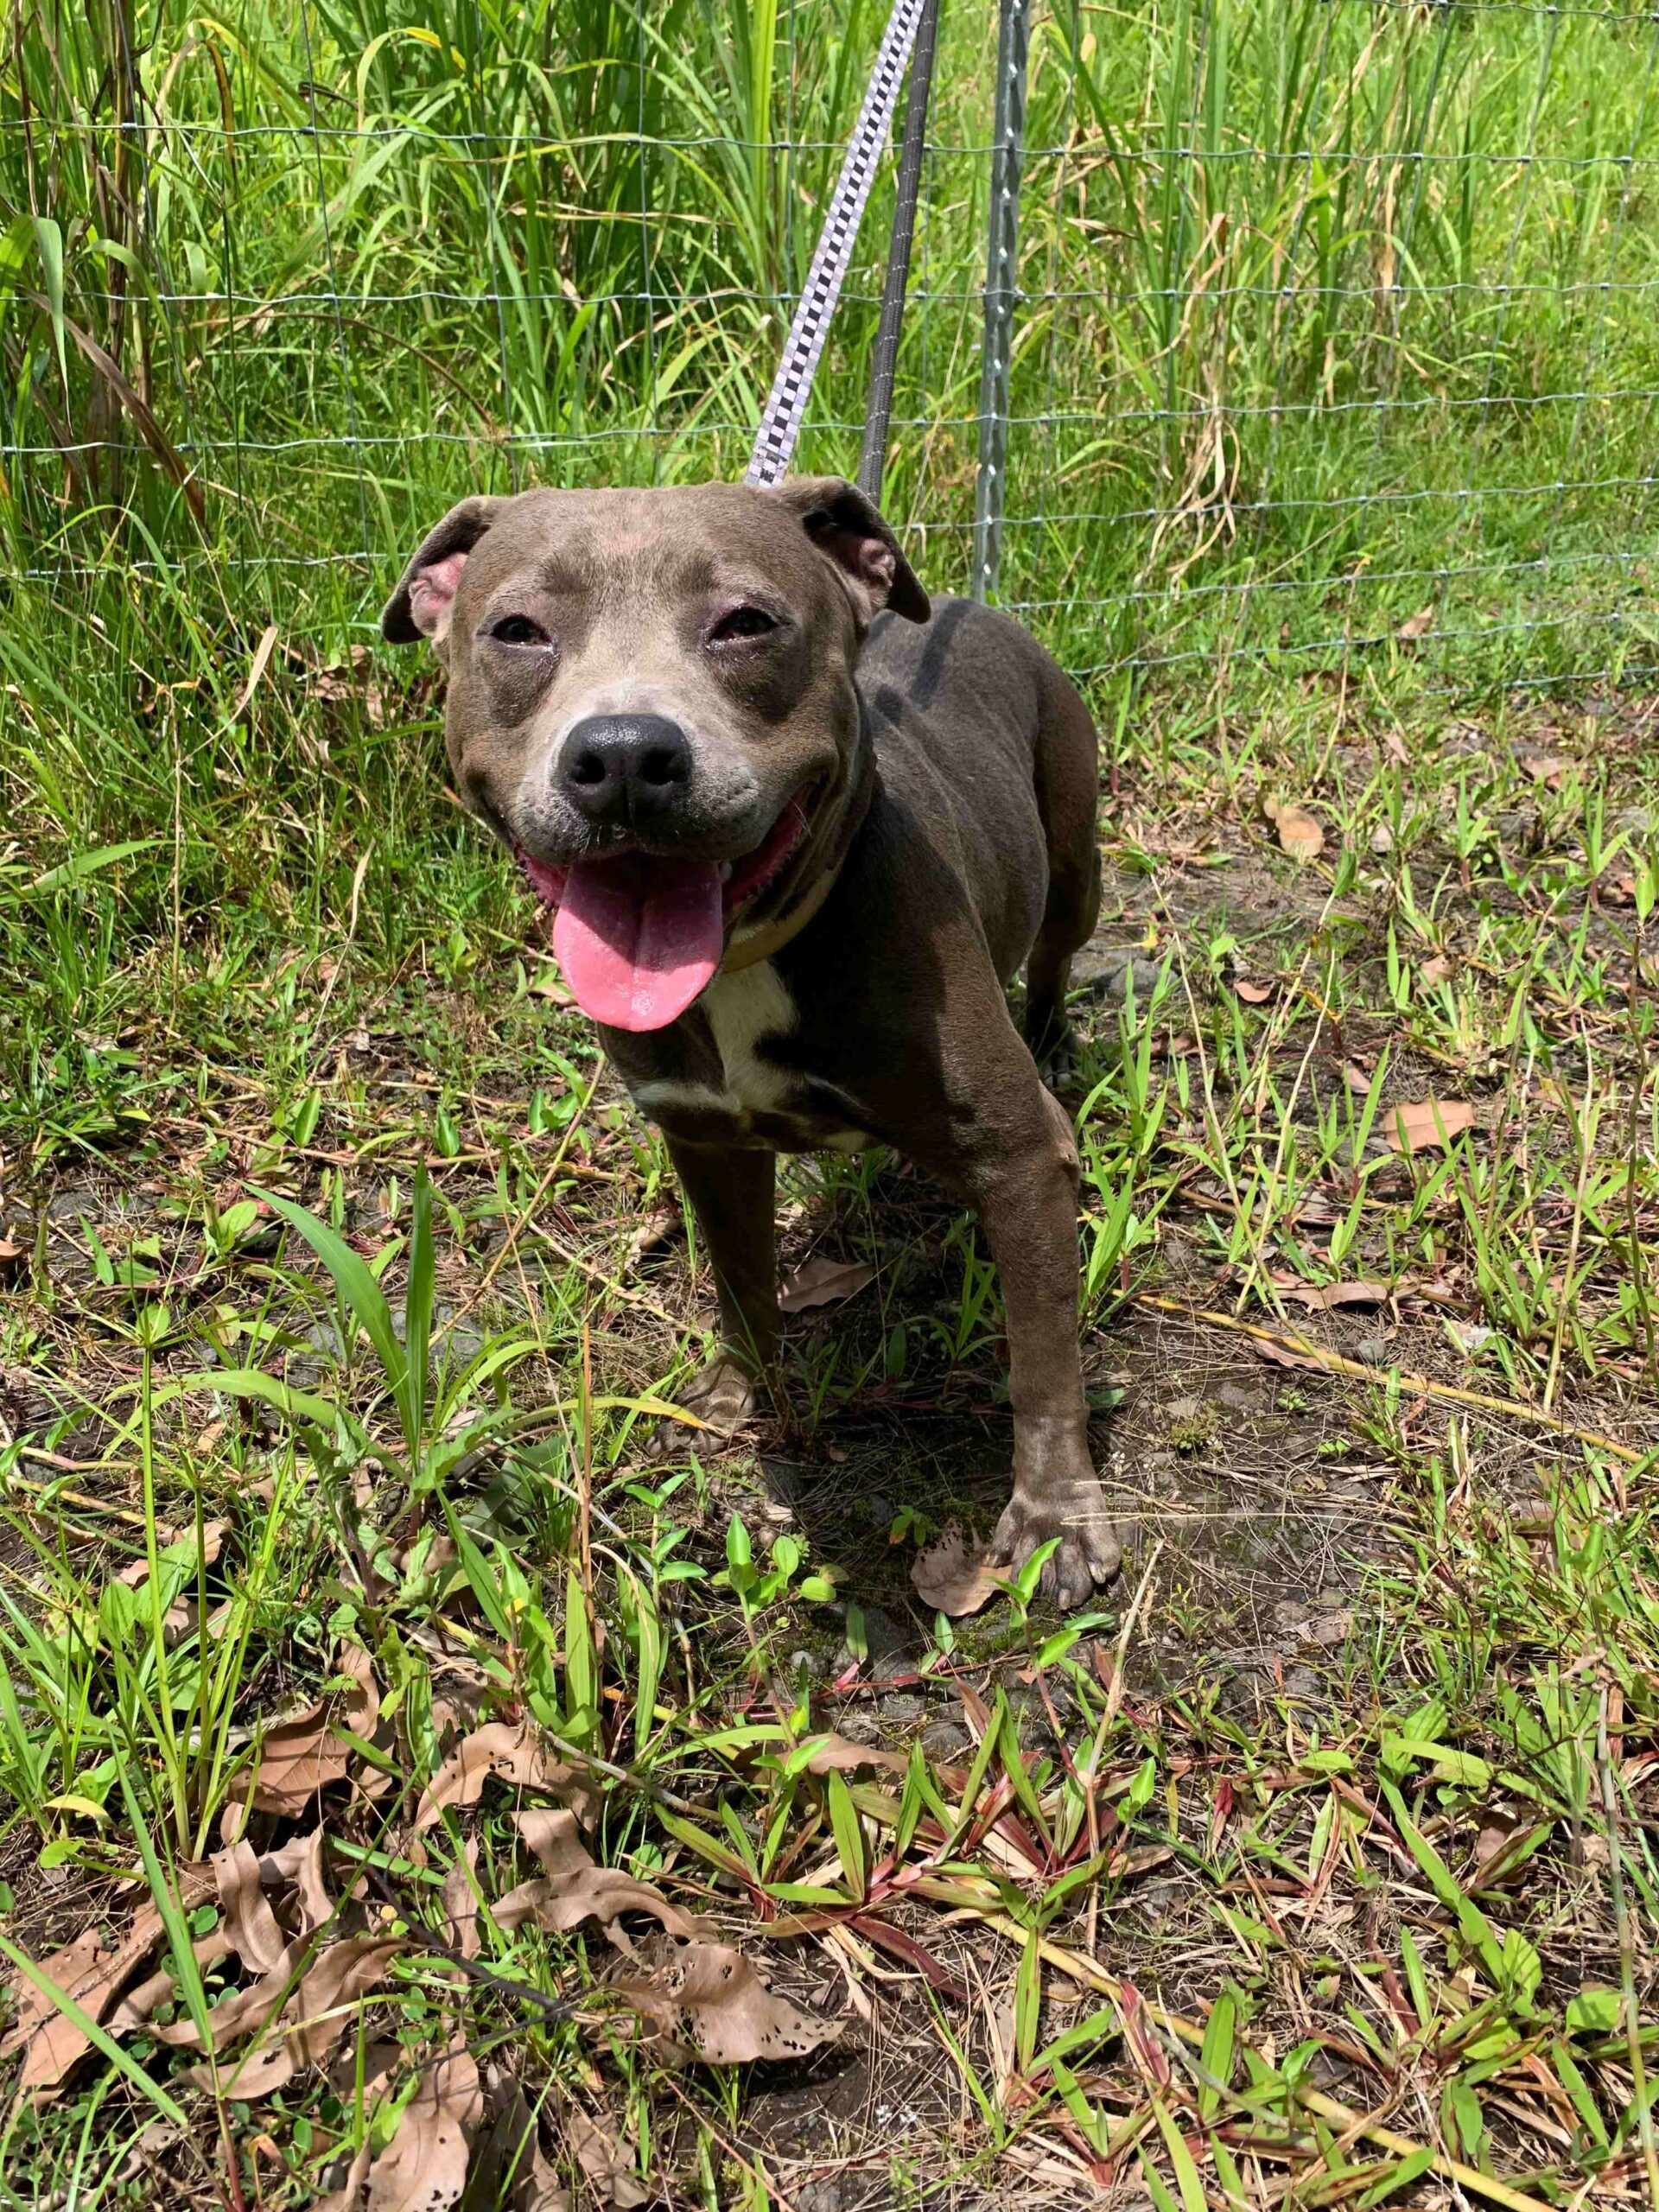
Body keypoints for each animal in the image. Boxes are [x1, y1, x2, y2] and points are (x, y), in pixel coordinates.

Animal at [382, 475, 1123, 1610]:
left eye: (746, 623)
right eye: (517, 632)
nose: (625, 756)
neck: (745, 957)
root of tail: (973, 603)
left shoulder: (1016, 1158)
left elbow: (1043, 1361)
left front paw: (1053, 1518)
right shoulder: (705, 1140)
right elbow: (739, 1279)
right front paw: (740, 1393)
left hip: (1076, 848)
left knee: (1054, 947)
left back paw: (1056, 1042)